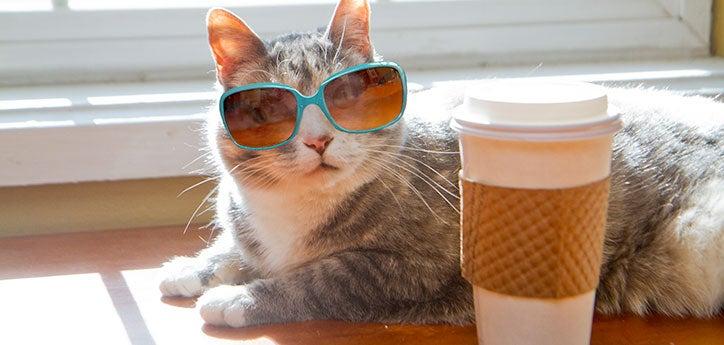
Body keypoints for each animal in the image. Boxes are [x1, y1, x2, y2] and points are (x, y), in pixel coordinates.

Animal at [160, 0, 724, 326]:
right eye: (268, 109)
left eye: (348, 95)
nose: (319, 141)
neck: (294, 213)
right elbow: (231, 249)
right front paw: (188, 267)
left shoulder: (405, 266)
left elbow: (317, 279)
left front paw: (237, 299)